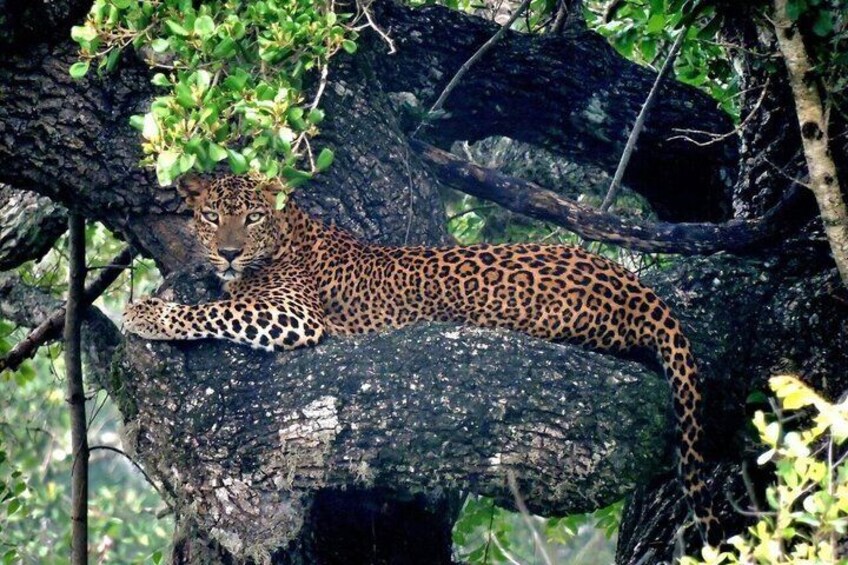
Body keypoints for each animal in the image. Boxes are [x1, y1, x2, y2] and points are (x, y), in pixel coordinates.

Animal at [123, 174, 722, 544]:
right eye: (209, 215)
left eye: (250, 217)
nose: (227, 252)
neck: (289, 232)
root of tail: (633, 284)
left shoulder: (292, 313)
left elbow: (217, 310)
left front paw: (144, 312)